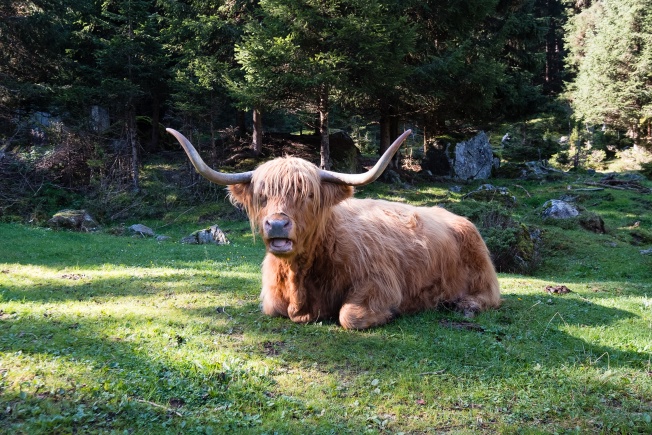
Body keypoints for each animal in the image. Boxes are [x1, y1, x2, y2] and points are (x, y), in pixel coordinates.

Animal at [167, 127, 500, 328]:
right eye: (262, 196)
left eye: (308, 195)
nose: (277, 224)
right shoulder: (273, 298)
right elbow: (274, 308)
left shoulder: (379, 283)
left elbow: (349, 315)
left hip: (482, 272)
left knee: (491, 296)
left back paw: (463, 305)